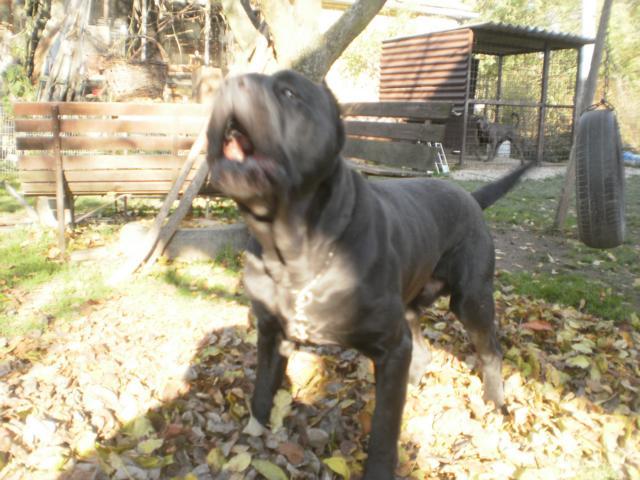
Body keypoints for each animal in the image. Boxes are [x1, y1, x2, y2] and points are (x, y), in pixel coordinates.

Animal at [206, 70, 531, 480]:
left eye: (290, 92)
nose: (231, 82)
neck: (293, 251)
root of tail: (470, 196)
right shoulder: (270, 334)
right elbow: (262, 391)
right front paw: (251, 442)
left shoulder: (389, 344)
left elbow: (384, 428)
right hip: (411, 307)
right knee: (420, 353)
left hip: (471, 300)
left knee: (490, 351)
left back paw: (496, 401)